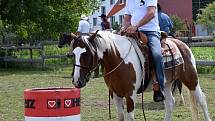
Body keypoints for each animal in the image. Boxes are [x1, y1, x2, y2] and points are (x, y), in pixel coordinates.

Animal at [61, 30, 211, 120]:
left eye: (87, 54)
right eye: (73, 54)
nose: (77, 81)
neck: (119, 59)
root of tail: (181, 44)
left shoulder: (130, 94)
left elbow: (130, 117)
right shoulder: (115, 94)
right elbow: (120, 116)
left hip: (191, 79)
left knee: (202, 100)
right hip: (166, 84)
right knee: (170, 103)